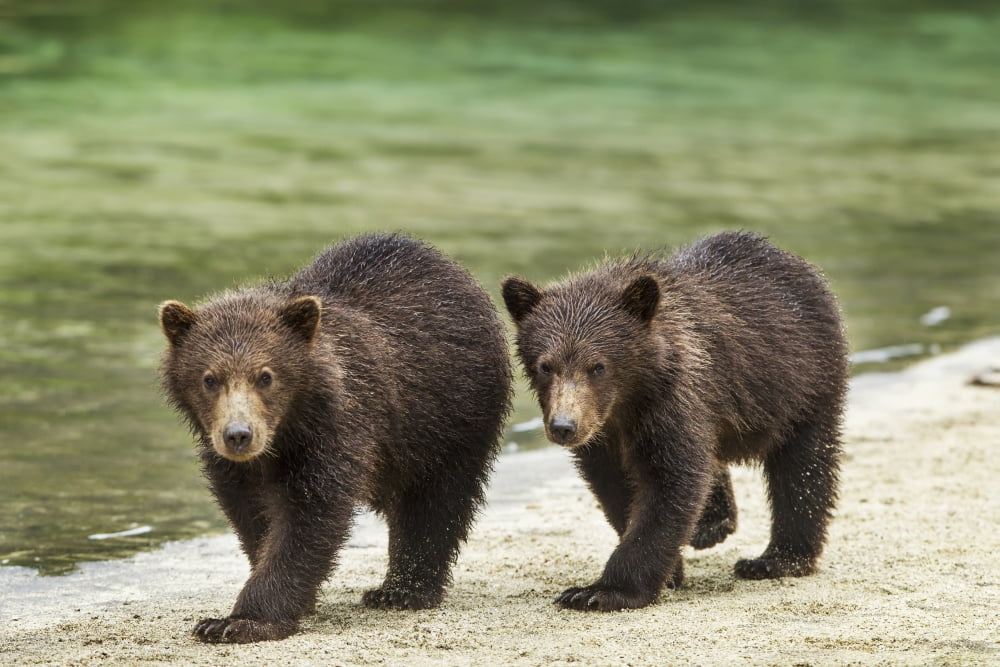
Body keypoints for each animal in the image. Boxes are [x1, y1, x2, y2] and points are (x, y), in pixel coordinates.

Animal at [158, 233, 512, 642]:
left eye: (266, 376)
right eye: (209, 378)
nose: (239, 435)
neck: (285, 435)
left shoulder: (335, 434)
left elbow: (308, 519)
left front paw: (240, 620)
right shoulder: (234, 466)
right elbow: (253, 516)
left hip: (446, 418)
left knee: (434, 502)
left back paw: (402, 590)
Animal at [501, 231, 847, 612]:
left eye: (598, 366)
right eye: (545, 365)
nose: (564, 427)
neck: (628, 402)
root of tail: (793, 261)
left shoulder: (671, 403)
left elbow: (670, 483)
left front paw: (601, 591)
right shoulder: (605, 437)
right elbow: (618, 488)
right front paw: (670, 571)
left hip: (802, 382)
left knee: (802, 467)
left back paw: (776, 559)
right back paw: (712, 523)